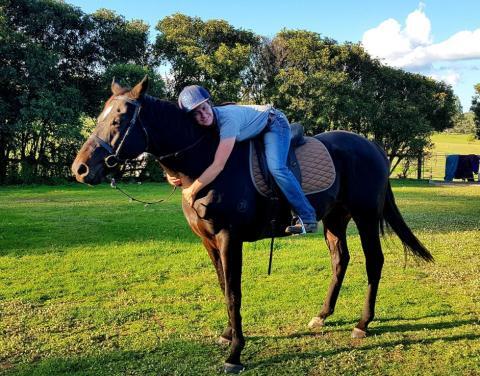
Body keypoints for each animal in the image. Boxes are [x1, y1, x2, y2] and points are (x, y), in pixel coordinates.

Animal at [72, 77, 436, 374]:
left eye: (119, 120)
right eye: (100, 116)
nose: (80, 169)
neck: (205, 160)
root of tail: (373, 146)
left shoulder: (228, 238)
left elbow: (234, 293)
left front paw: (235, 353)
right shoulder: (209, 242)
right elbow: (224, 287)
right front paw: (228, 334)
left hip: (365, 217)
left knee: (374, 262)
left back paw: (362, 324)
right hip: (335, 218)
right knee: (340, 261)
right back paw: (322, 314)